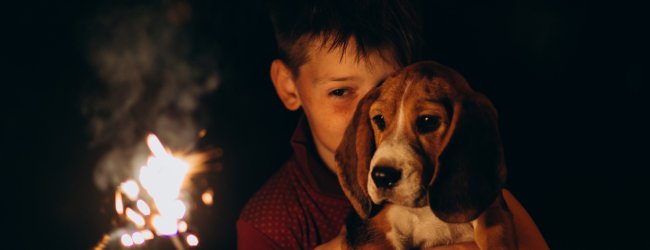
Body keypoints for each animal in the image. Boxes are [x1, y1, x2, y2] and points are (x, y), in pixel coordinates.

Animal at [334, 61, 516, 250]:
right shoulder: (374, 229)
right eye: (379, 119)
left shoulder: (494, 212)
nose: (382, 176)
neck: (425, 209)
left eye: (428, 121)